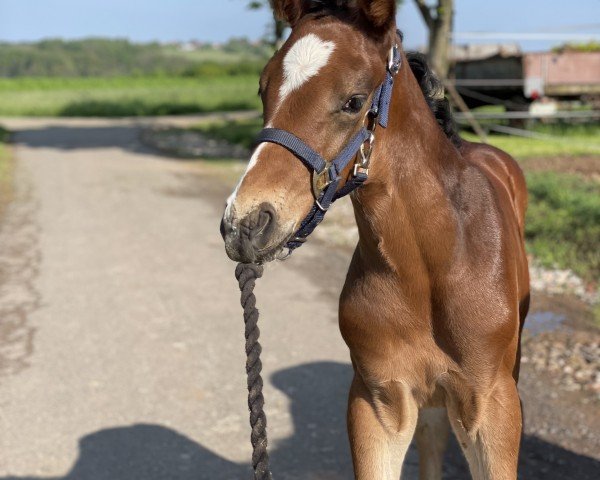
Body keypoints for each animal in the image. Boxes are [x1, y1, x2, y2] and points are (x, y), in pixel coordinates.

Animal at [221, 0, 528, 476]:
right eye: (262, 89)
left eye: (353, 101)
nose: (246, 223)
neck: (430, 267)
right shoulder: (377, 401)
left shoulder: (493, 405)